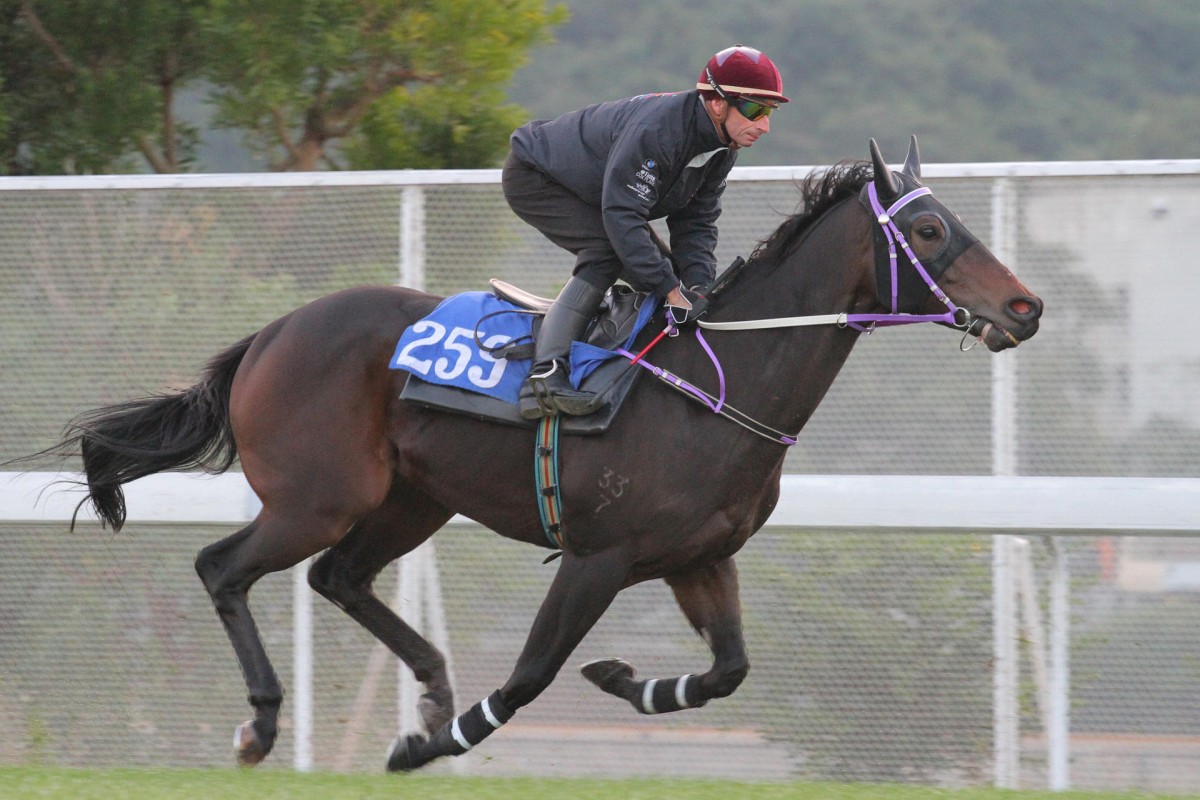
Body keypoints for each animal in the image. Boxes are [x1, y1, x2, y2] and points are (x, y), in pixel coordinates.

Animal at [49, 139, 1041, 777]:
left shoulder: (699, 558)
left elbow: (727, 671)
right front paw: (430, 746)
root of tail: (270, 334)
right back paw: (263, 725)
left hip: (411, 500)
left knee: (338, 578)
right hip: (317, 498)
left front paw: (624, 679)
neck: (716, 385)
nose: (1025, 307)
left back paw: (432, 686)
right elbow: (529, 677)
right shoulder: (599, 557)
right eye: (930, 233)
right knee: (224, 568)